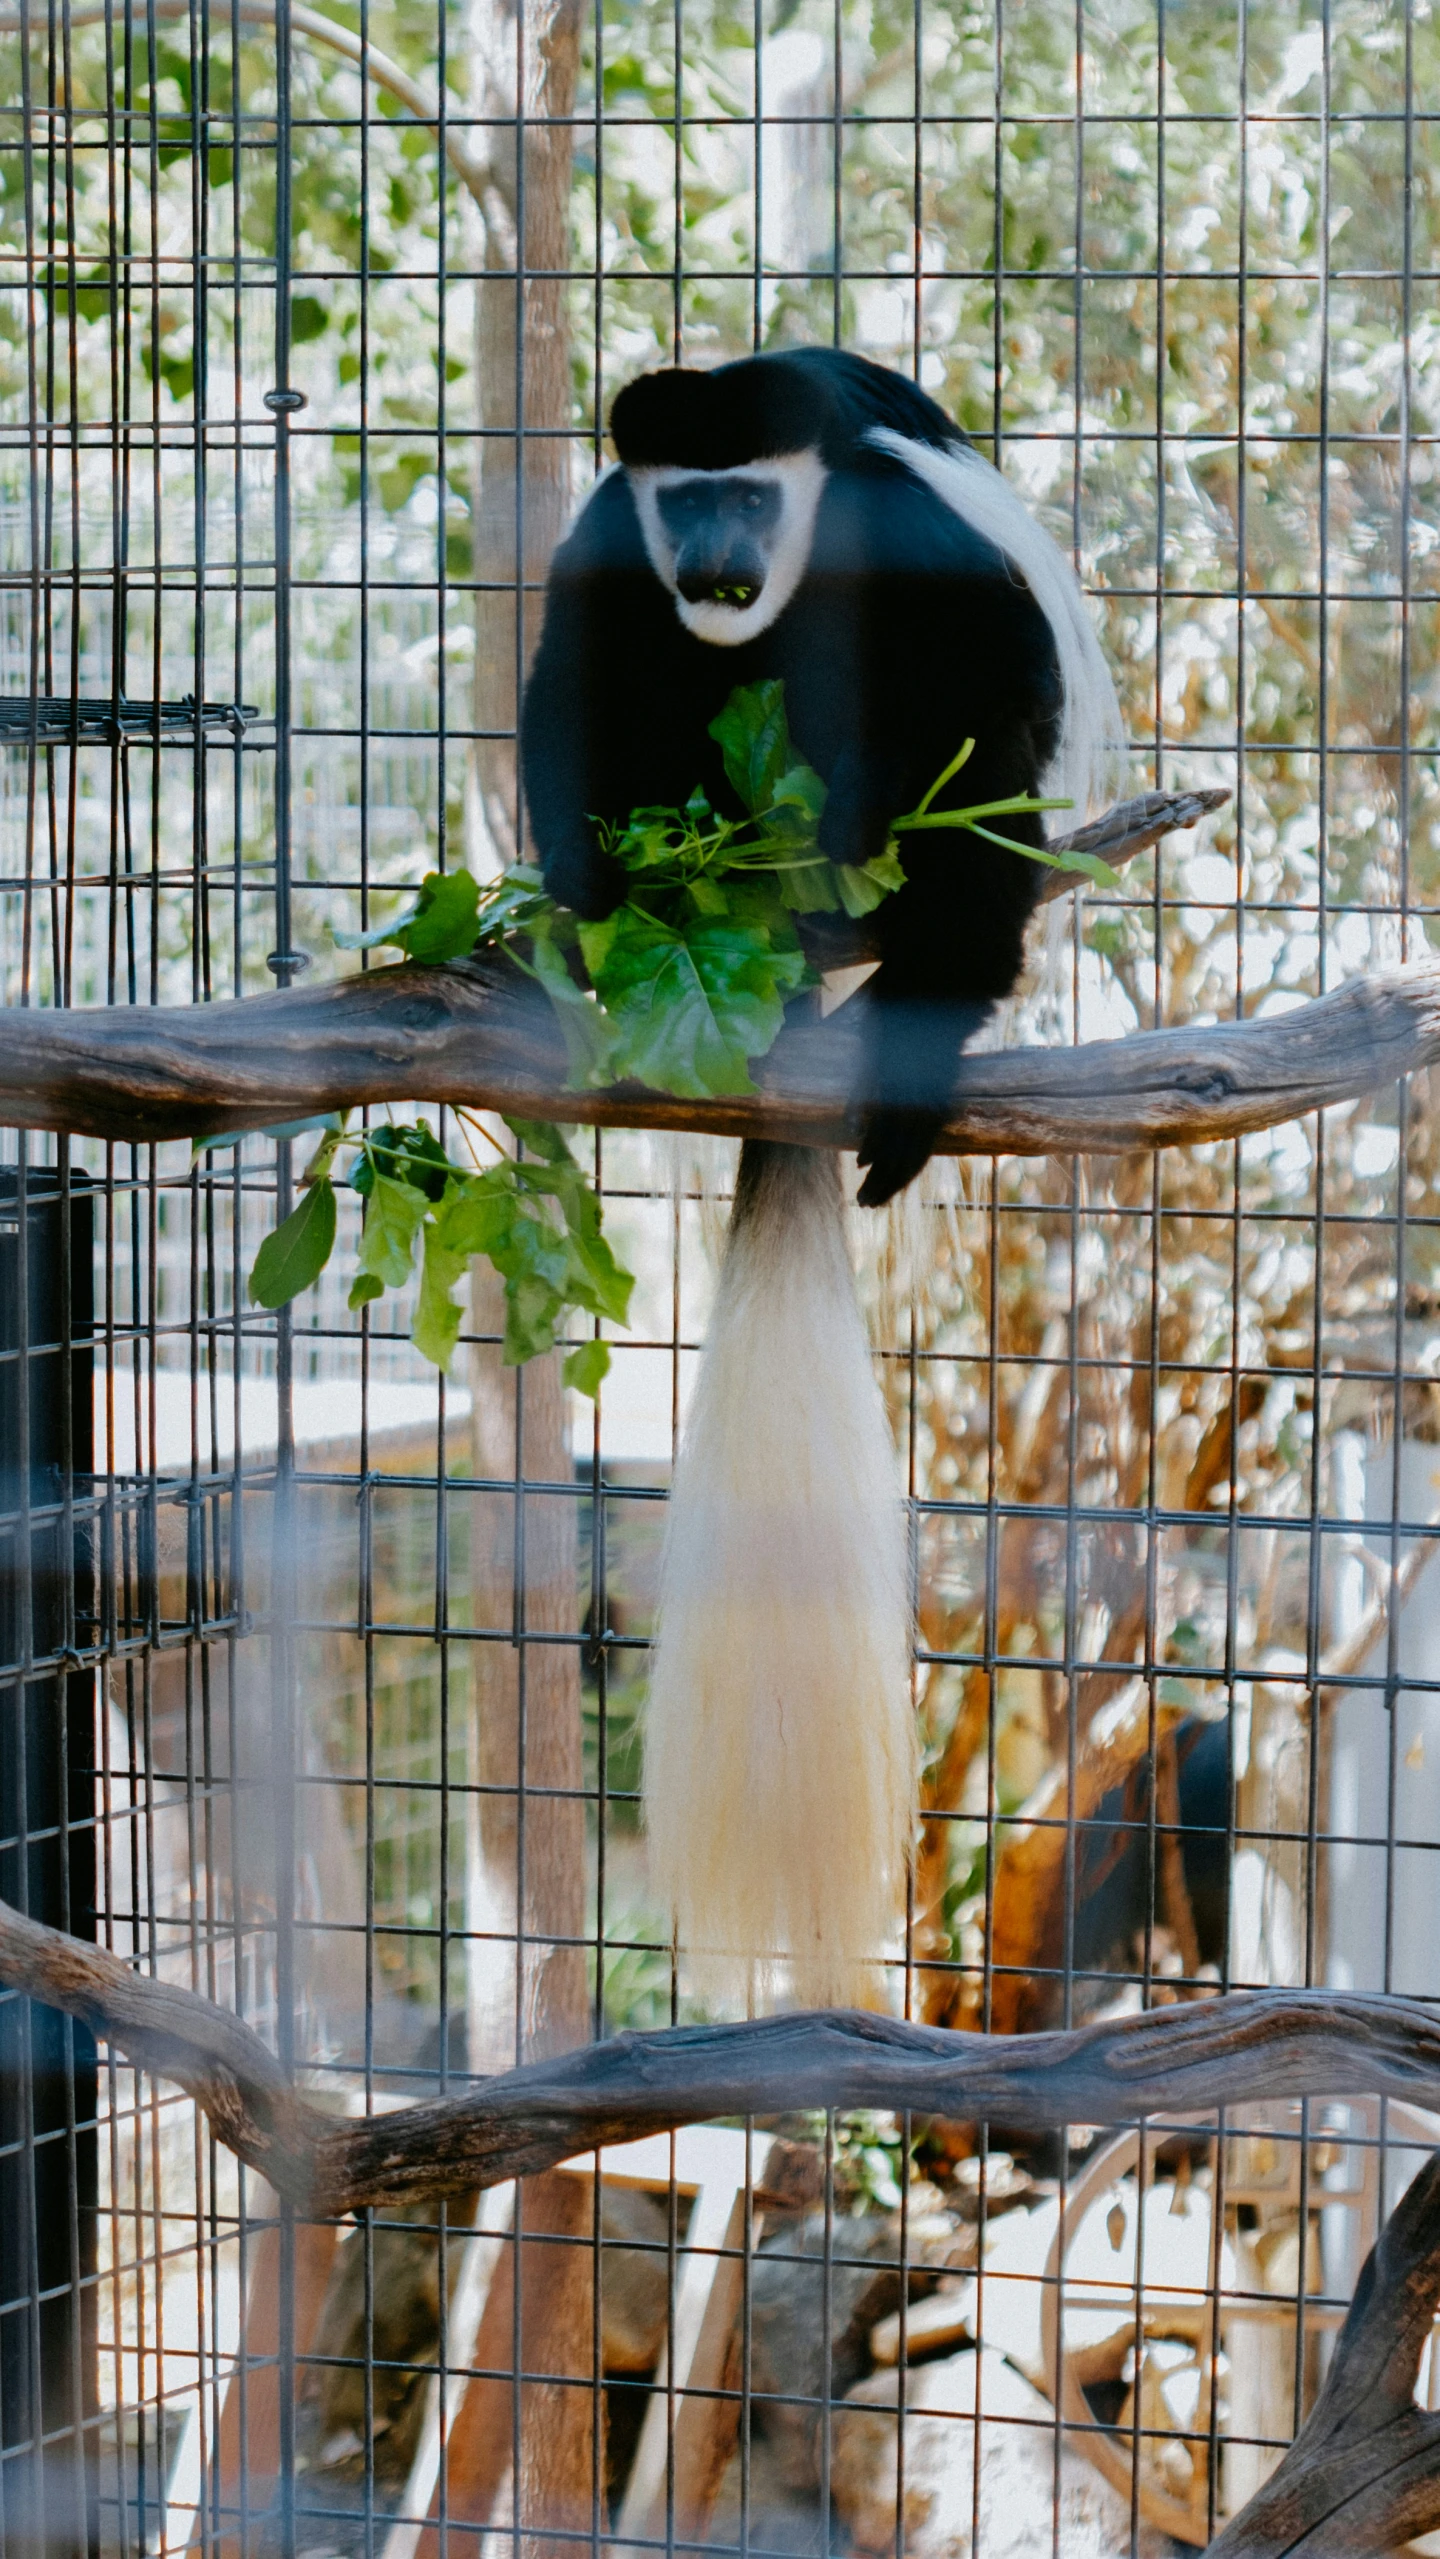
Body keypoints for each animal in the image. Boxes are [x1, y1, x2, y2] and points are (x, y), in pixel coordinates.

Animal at [521, 350, 1125, 2006]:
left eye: (746, 495)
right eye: (684, 500)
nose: (715, 566)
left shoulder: (898, 525)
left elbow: (993, 688)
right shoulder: (610, 545)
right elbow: (577, 692)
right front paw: (611, 889)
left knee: (969, 776)